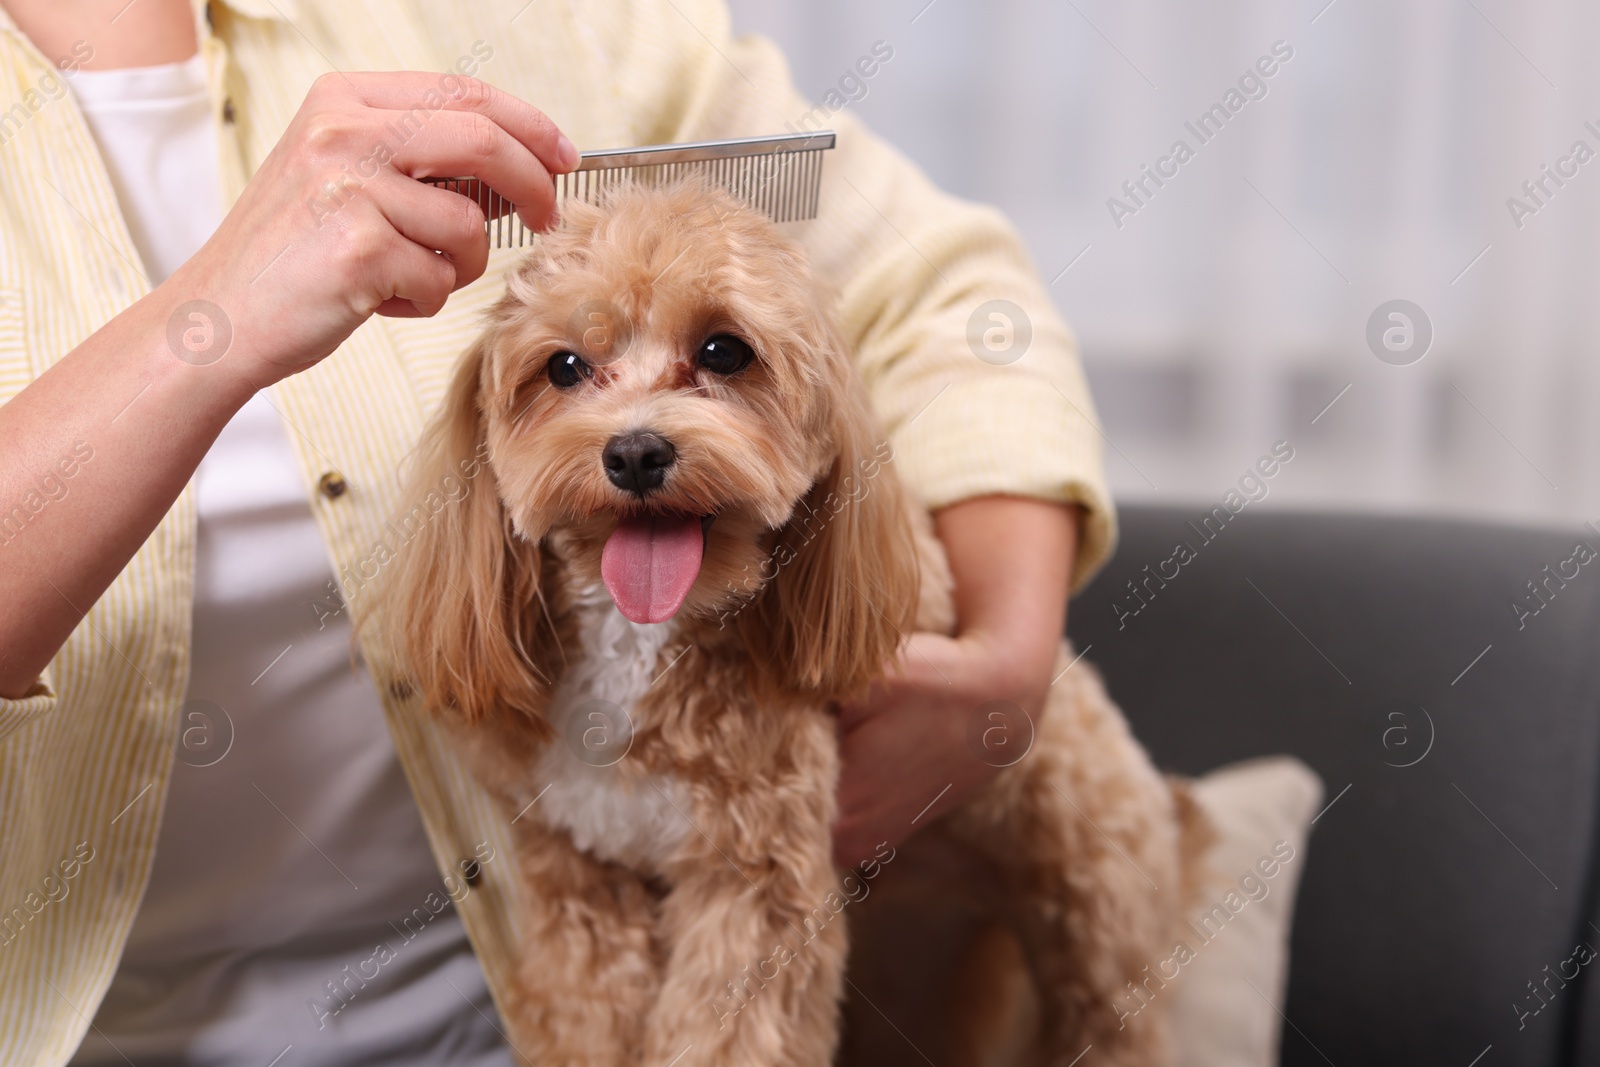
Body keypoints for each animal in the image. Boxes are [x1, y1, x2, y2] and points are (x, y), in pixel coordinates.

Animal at [380, 179, 1203, 1062]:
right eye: (564, 366)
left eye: (724, 351)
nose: (635, 452)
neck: (638, 643)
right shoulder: (579, 879)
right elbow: (588, 1014)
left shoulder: (755, 884)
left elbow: (729, 1030)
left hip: (1099, 913)